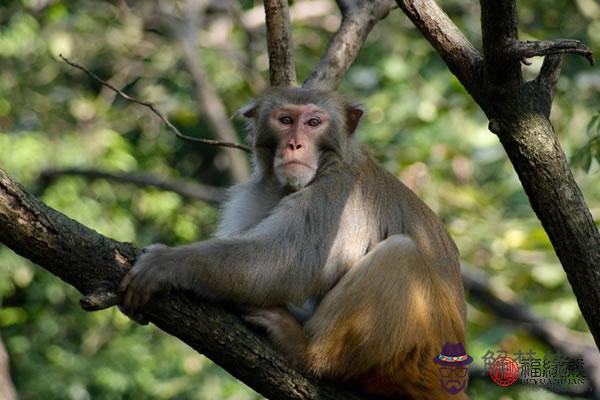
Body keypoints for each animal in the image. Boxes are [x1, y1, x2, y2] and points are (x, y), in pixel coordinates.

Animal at [120, 87, 468, 400]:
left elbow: (286, 264)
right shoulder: (257, 194)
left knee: (400, 254)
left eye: (314, 123)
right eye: (285, 120)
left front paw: (167, 265)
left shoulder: (339, 195)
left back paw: (309, 352)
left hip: (418, 360)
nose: (294, 144)